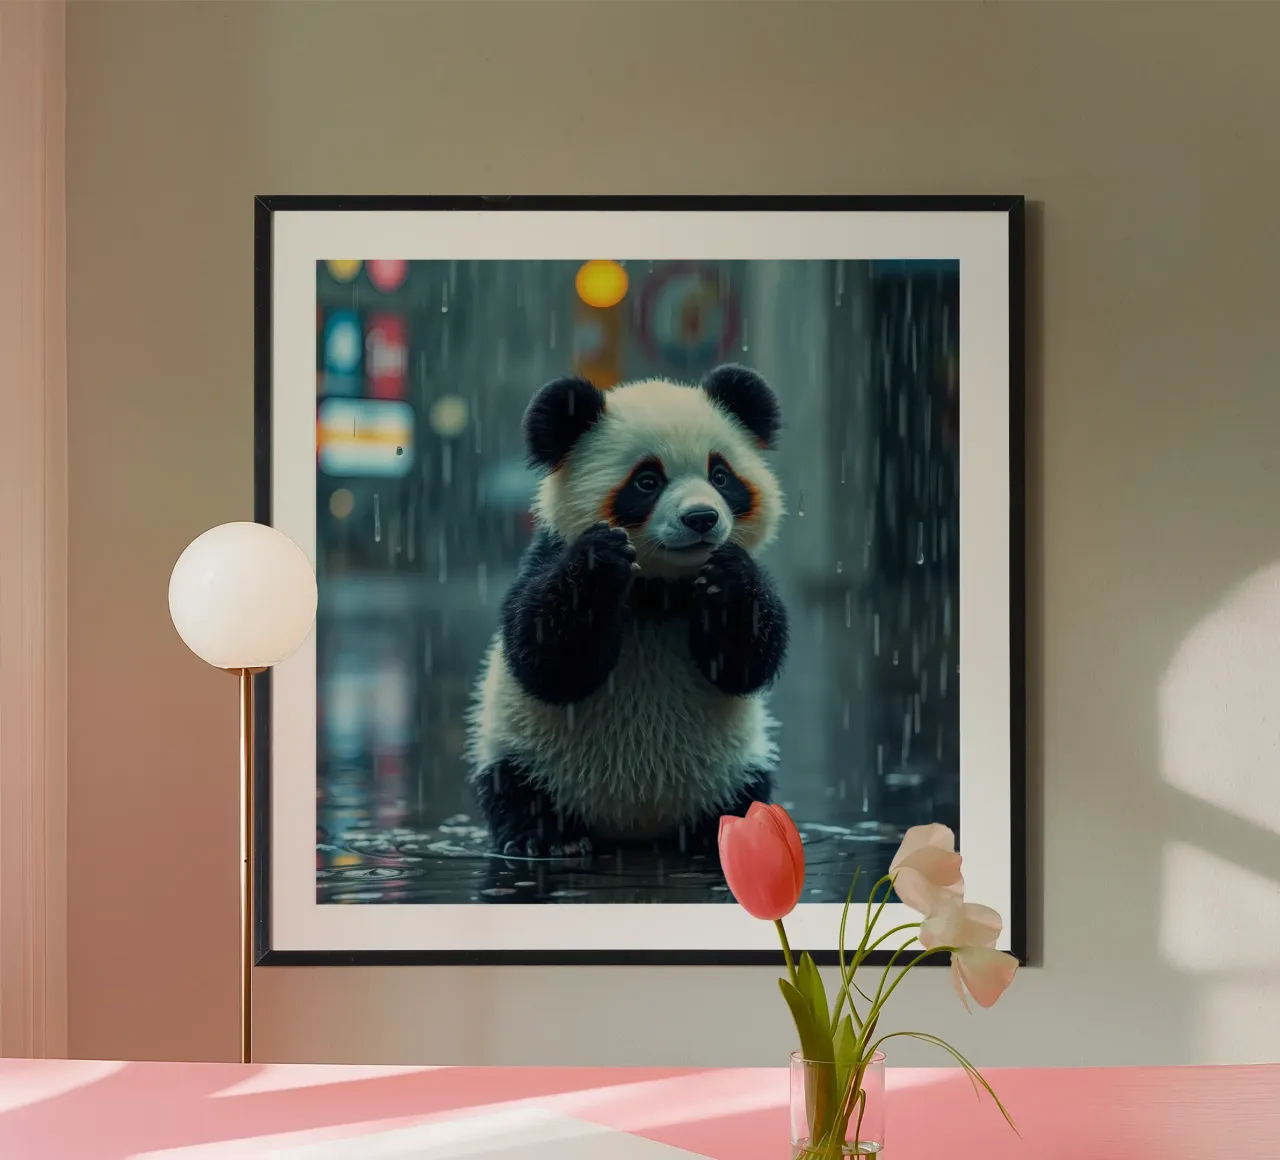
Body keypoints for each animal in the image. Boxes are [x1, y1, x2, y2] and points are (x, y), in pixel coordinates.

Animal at [466, 364, 789, 859]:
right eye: (647, 481)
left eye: (720, 475)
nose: (702, 518)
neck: (660, 589)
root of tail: (634, 829)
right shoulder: (544, 556)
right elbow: (544, 659)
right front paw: (599, 561)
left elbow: (746, 664)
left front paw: (730, 577)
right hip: (526, 753)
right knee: (515, 789)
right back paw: (547, 840)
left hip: (732, 766)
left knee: (747, 794)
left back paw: (724, 838)